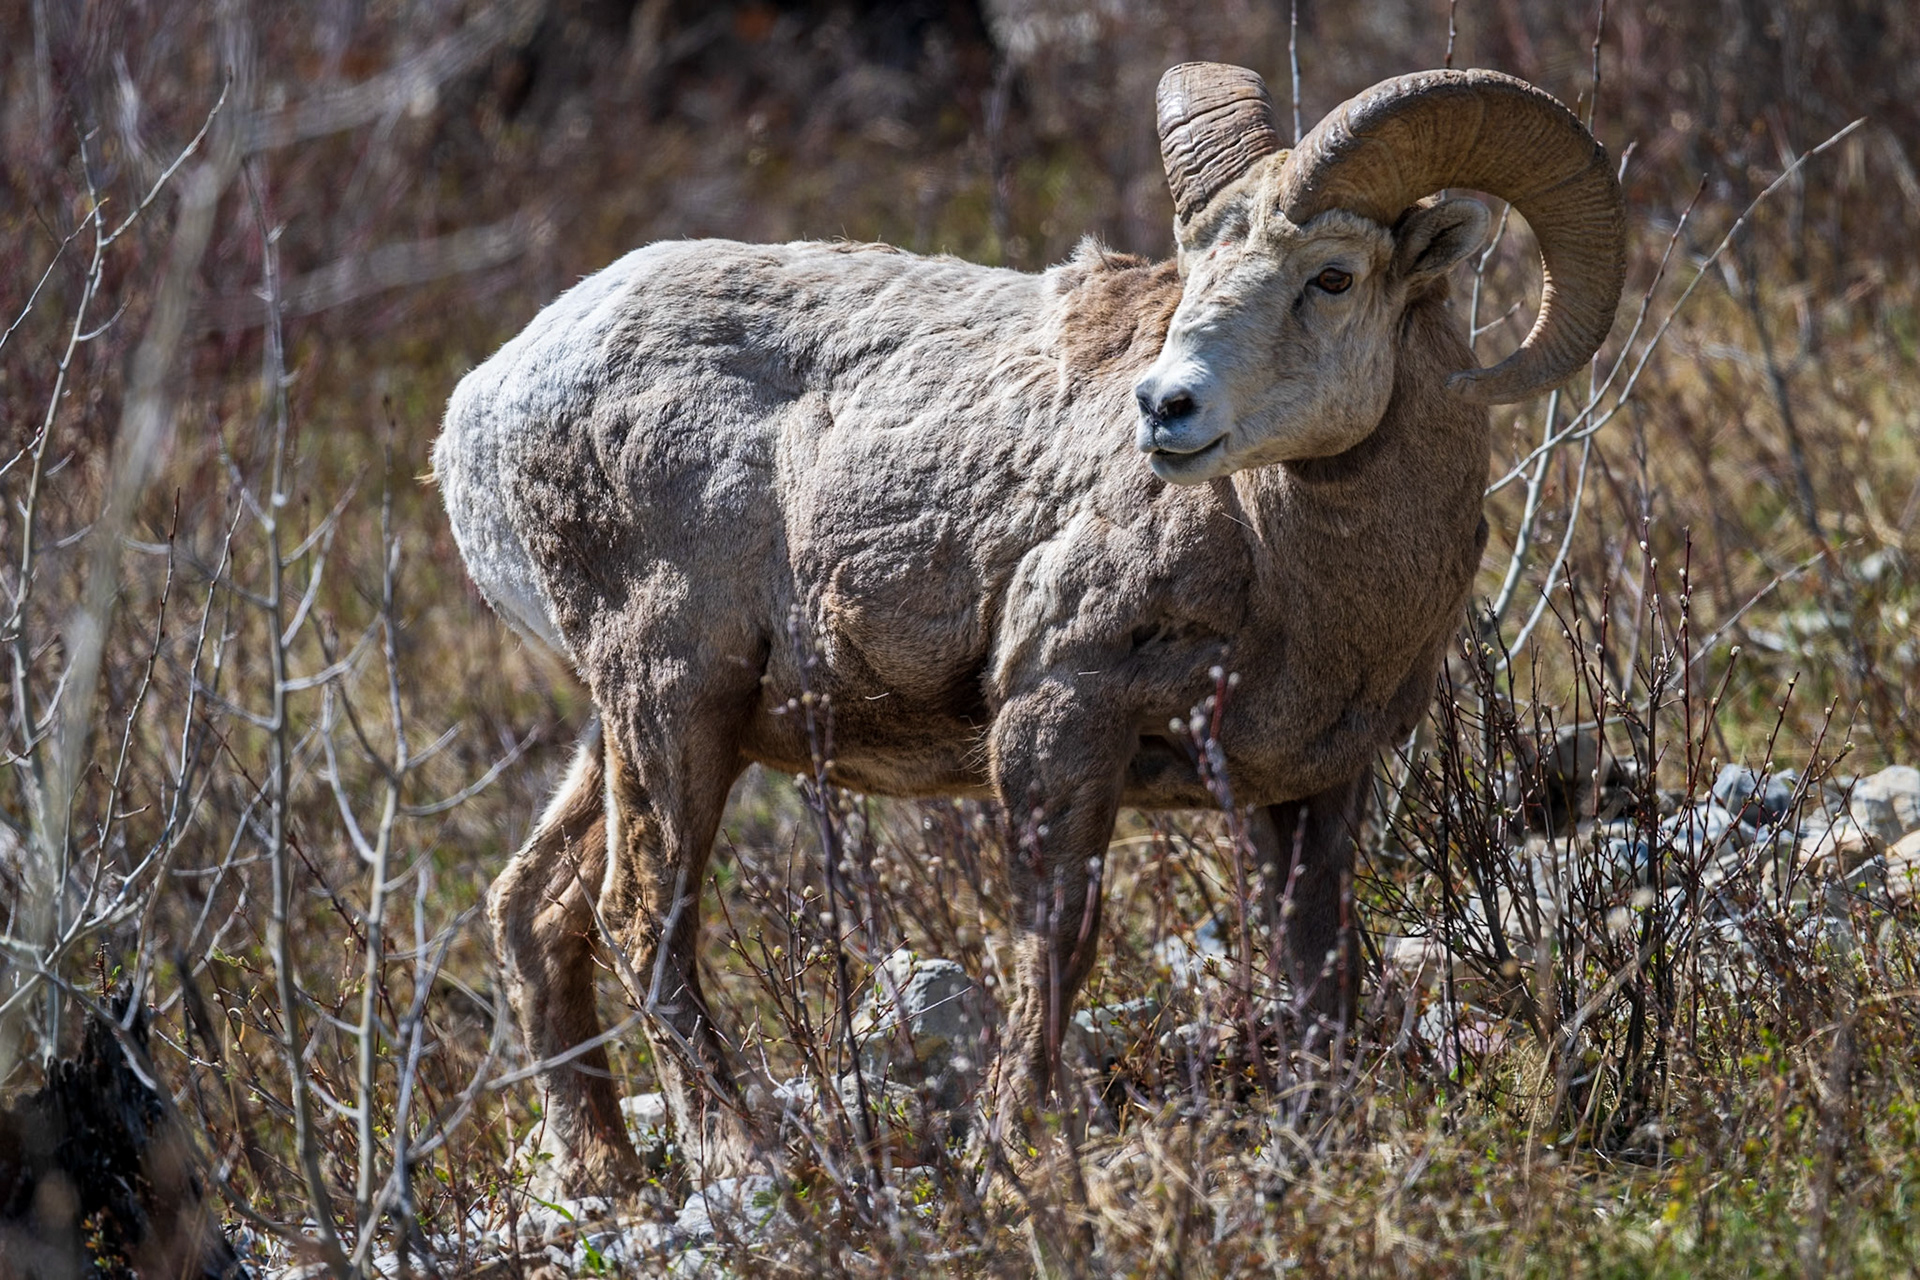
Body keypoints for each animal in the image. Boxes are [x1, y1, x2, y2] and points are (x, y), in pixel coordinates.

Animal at [434, 63, 1626, 1192]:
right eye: (1196, 272)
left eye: (1331, 277)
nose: (1165, 407)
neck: (1297, 575)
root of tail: (481, 404)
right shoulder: (1057, 720)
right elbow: (1054, 947)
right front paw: (1010, 1155)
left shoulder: (1311, 785)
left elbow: (1318, 964)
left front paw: (1321, 1138)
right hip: (672, 699)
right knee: (641, 914)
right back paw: (744, 1162)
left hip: (643, 729)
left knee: (533, 908)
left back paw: (607, 1178)